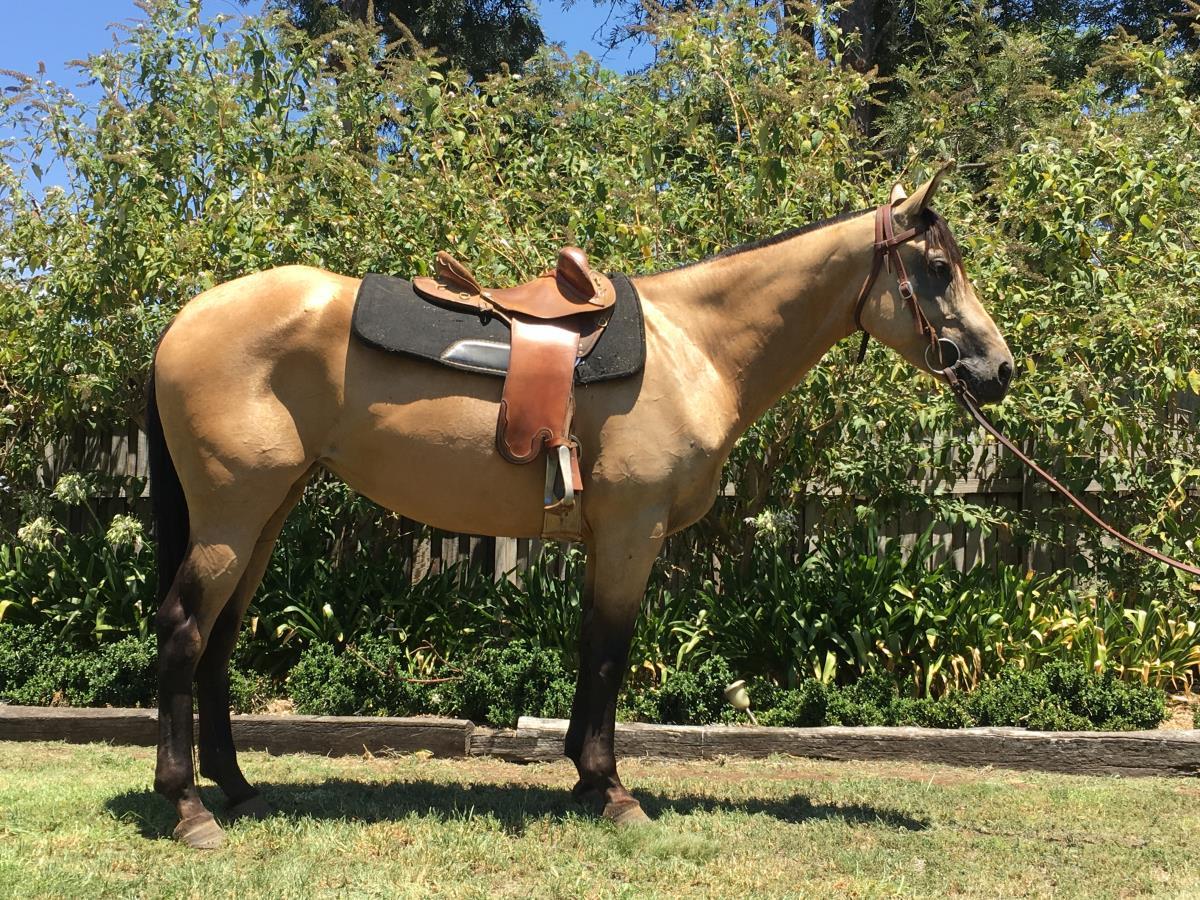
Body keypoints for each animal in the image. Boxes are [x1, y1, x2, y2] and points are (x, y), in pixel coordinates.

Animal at [146, 161, 1013, 848]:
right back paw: (189, 808)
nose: (1000, 368)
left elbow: (592, 647)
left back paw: (238, 787)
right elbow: (610, 652)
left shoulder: (608, 537)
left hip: (265, 513)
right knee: (185, 631)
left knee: (221, 637)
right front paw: (613, 790)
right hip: (232, 515)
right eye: (938, 268)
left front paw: (586, 780)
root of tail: (185, 320)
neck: (693, 347)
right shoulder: (633, 531)